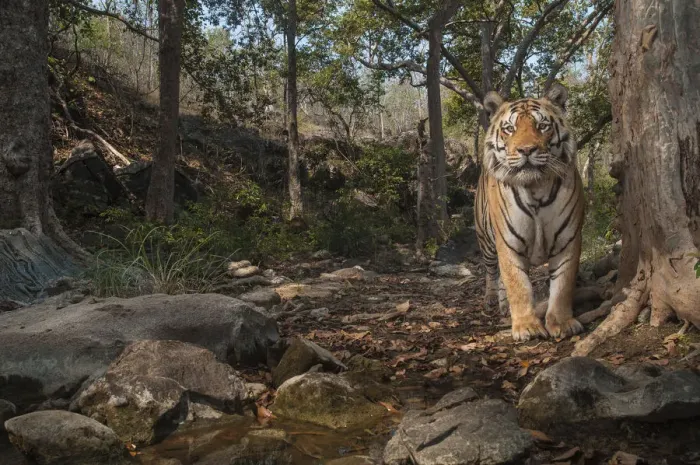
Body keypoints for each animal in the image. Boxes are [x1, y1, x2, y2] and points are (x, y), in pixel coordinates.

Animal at [474, 83, 585, 342]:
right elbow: (517, 285)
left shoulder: (568, 240)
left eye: (542, 126)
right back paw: (491, 300)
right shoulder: (508, 243)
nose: (526, 150)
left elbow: (562, 285)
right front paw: (527, 326)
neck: (536, 188)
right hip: (486, 240)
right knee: (491, 272)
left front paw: (561, 323)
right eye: (509, 129)